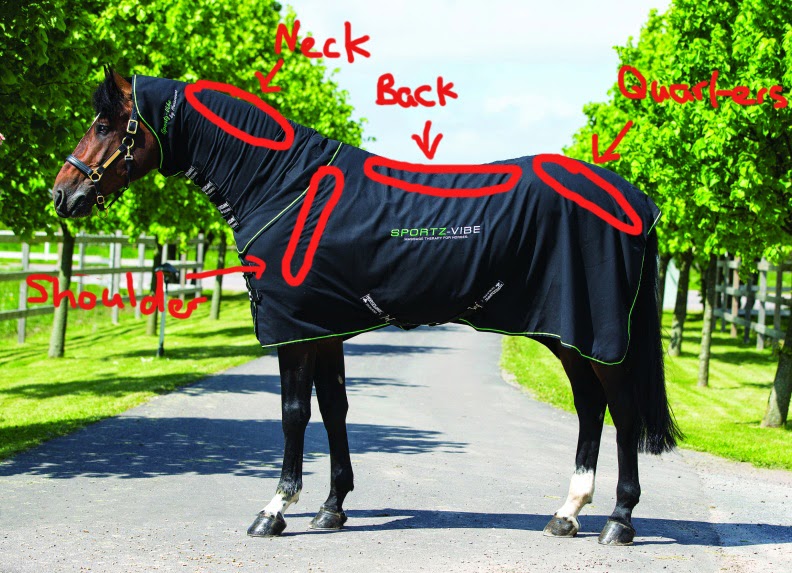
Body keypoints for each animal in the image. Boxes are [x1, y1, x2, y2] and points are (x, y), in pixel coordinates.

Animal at [52, 67, 681, 546]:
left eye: (105, 125)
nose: (63, 194)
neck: (283, 187)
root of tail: (635, 199)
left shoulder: (292, 331)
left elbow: (294, 414)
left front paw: (274, 510)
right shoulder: (322, 328)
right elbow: (335, 410)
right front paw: (332, 507)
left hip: (595, 337)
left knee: (622, 413)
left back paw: (619, 522)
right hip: (567, 335)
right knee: (590, 409)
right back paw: (567, 513)